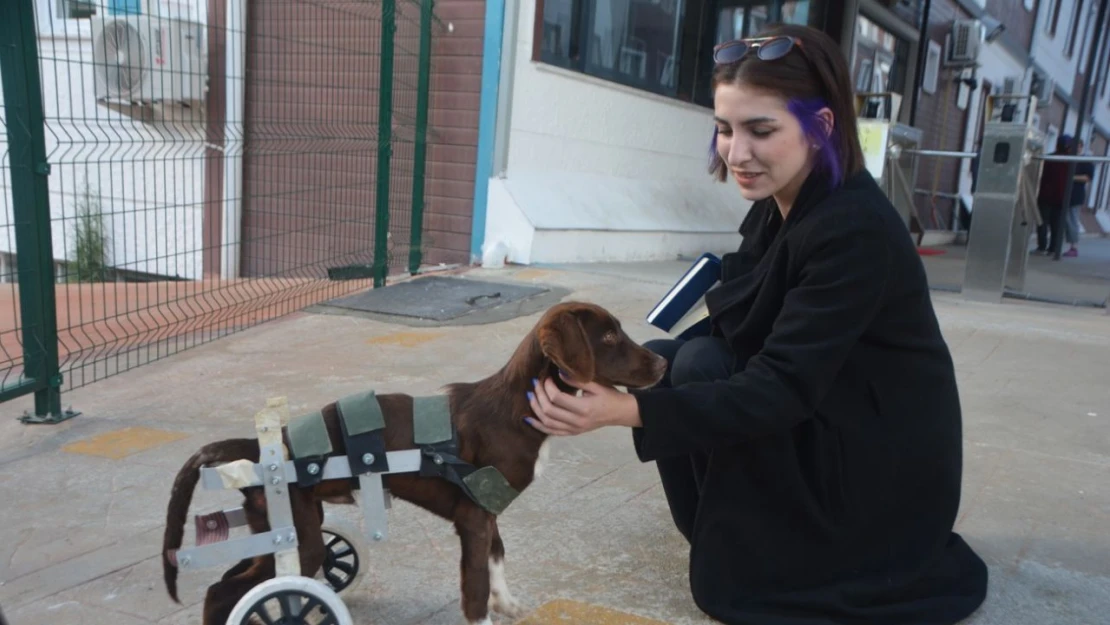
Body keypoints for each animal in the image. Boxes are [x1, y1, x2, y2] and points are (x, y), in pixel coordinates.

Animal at [162, 299, 666, 621]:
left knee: (237, 578)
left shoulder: (486, 511)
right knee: (222, 591)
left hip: (288, 529)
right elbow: (474, 591)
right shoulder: (473, 519)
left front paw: (508, 603)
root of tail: (257, 448)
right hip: (299, 537)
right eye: (608, 336)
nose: (663, 365)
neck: (516, 407)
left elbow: (498, 560)